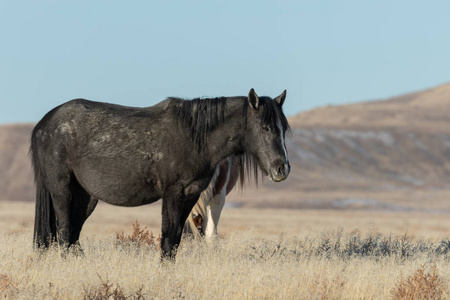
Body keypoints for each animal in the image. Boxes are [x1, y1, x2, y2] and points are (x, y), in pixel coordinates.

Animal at [32, 88, 292, 258]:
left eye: (283, 129)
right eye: (265, 127)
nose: (282, 168)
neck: (195, 138)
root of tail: (44, 124)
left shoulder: (191, 194)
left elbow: (175, 240)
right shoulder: (174, 193)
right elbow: (168, 239)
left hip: (85, 197)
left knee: (73, 236)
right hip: (62, 191)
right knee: (64, 232)